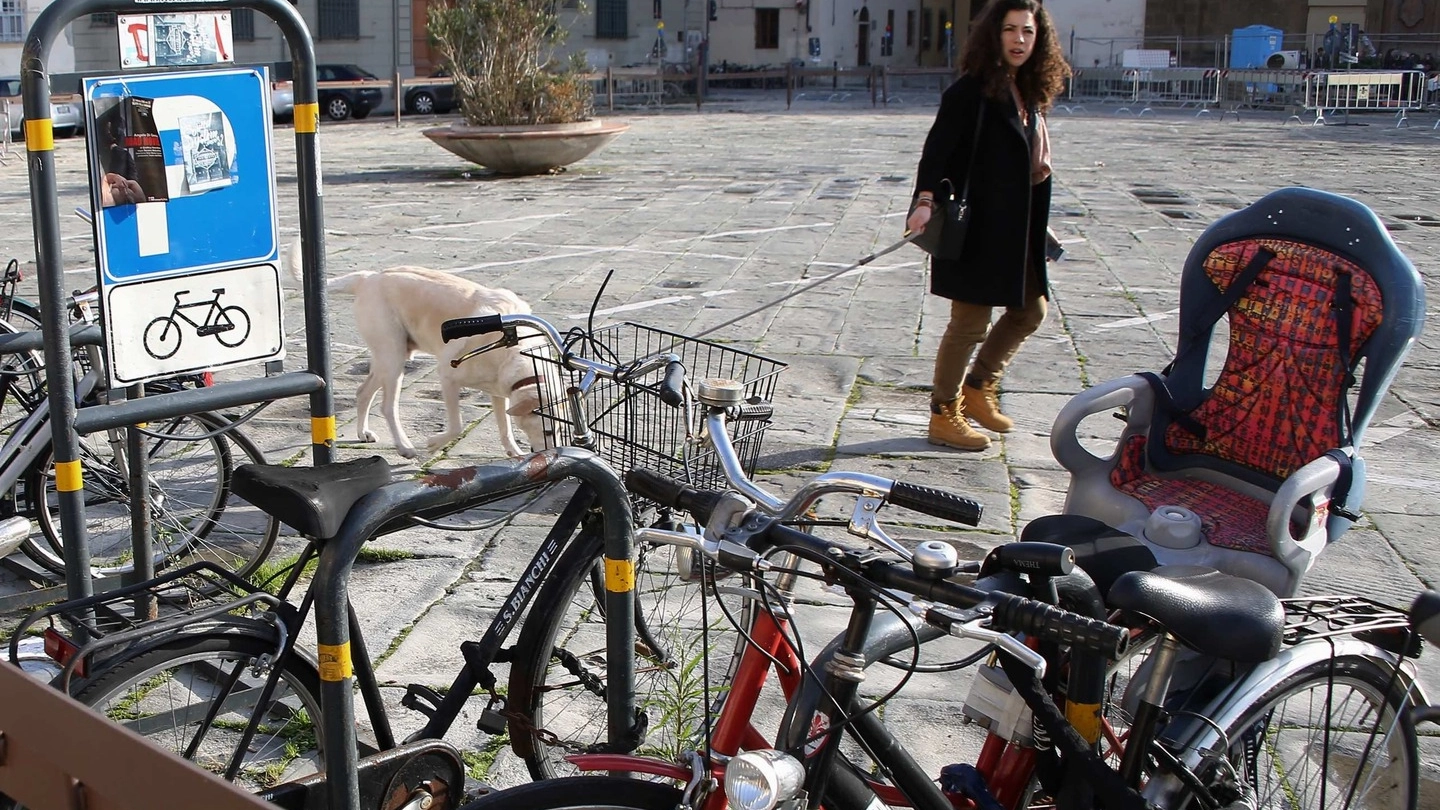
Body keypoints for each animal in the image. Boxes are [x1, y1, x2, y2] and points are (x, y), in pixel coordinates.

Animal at [329, 263, 552, 455]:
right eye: (547, 431)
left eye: (558, 428)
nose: (552, 455)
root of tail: (368, 278)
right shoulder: (447, 376)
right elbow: (456, 426)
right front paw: (434, 443)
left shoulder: (499, 391)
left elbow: (505, 429)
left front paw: (514, 453)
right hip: (392, 358)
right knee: (387, 407)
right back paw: (404, 446)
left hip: (389, 358)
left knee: (363, 391)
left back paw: (363, 432)